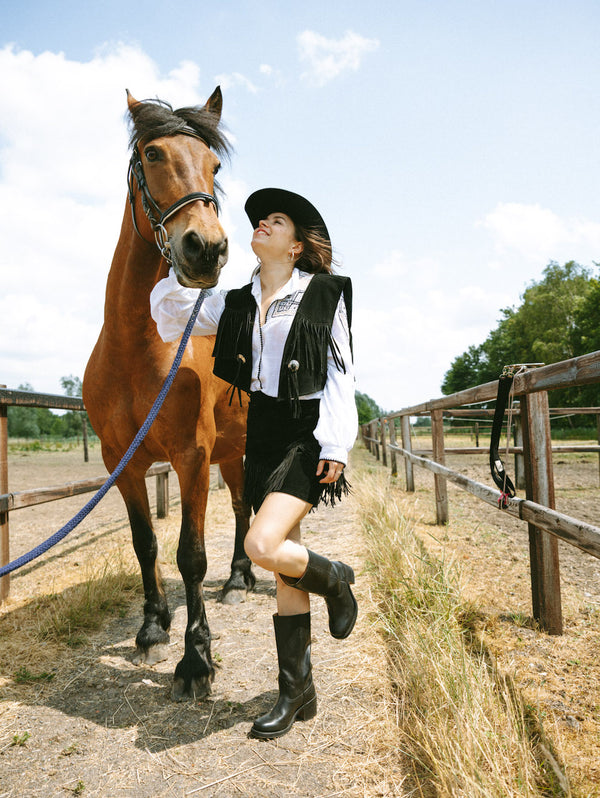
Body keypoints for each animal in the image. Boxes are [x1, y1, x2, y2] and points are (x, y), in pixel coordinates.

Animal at [82, 87, 253, 700]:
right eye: (152, 155)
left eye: (215, 165)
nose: (207, 247)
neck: (137, 345)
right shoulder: (123, 463)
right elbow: (147, 545)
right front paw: (154, 626)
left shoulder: (191, 457)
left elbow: (190, 555)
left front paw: (196, 659)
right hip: (229, 455)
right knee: (242, 506)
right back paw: (240, 578)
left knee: (247, 509)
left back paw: (241, 579)